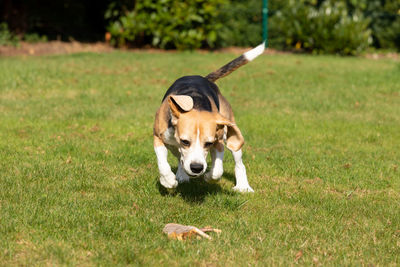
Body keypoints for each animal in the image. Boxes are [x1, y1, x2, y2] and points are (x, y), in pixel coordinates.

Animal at [154, 42, 266, 193]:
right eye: (185, 141)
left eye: (208, 143)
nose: (196, 168)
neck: (195, 104)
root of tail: (204, 78)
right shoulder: (158, 137)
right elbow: (163, 164)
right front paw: (168, 181)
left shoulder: (218, 142)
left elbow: (217, 171)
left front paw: (209, 176)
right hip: (172, 146)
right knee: (179, 158)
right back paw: (182, 175)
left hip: (232, 138)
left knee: (239, 163)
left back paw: (243, 186)